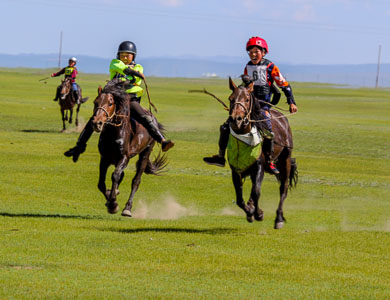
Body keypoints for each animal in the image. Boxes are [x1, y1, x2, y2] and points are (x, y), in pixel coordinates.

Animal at [92, 78, 167, 217]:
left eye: (110, 103)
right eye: (95, 102)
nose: (97, 123)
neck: (113, 132)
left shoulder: (124, 157)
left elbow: (115, 175)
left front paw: (113, 204)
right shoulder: (104, 158)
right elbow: (101, 183)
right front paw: (110, 199)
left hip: (145, 153)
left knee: (136, 181)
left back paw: (127, 208)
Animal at [227, 76, 298, 229]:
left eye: (247, 99)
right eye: (231, 98)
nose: (236, 119)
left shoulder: (259, 166)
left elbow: (256, 191)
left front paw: (258, 213)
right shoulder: (236, 170)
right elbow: (240, 198)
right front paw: (250, 211)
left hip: (285, 159)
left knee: (283, 188)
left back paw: (279, 219)